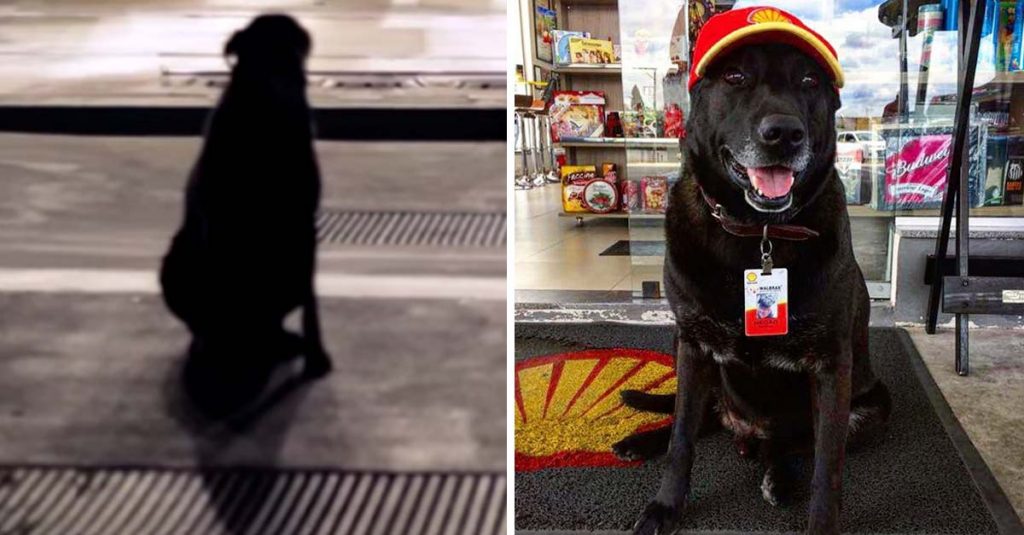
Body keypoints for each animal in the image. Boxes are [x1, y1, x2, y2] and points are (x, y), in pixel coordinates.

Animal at [160, 12, 331, 403]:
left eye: (292, 52)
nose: (285, 85)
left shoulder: (304, 224)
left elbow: (310, 302)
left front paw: (315, 356)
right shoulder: (217, 222)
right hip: (177, 258)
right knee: (208, 321)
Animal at [618, 43, 892, 528]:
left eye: (809, 81)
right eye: (734, 76)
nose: (784, 134)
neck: (757, 231)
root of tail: (745, 430)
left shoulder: (831, 368)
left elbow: (827, 466)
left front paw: (821, 522)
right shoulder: (692, 346)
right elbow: (681, 439)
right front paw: (666, 505)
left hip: (871, 408)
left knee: (787, 444)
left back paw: (777, 476)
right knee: (701, 420)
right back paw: (641, 442)